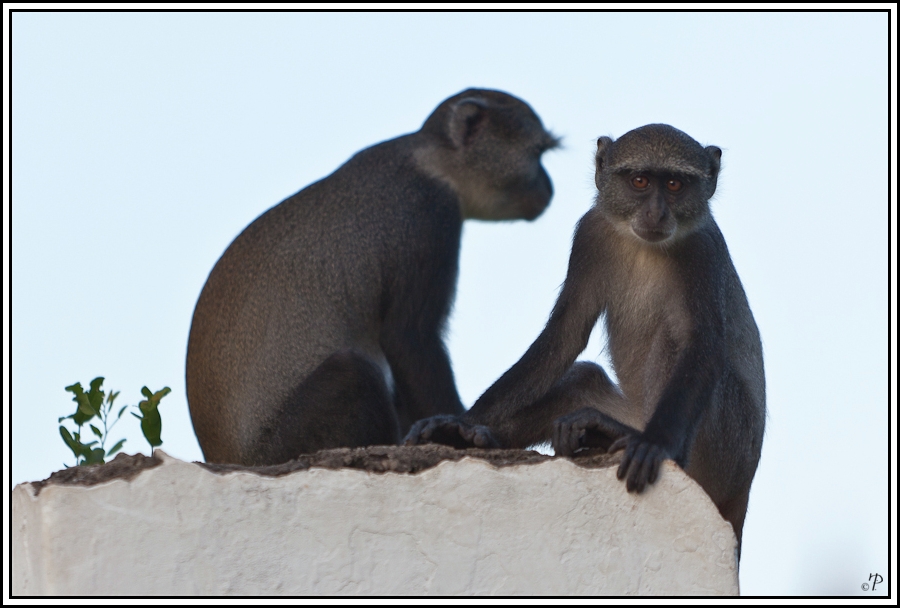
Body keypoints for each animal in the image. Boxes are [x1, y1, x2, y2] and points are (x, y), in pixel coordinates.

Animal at [186, 90, 560, 468]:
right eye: (537, 154)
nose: (549, 187)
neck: (429, 158)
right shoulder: (429, 214)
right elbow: (410, 338)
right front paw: (457, 429)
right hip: (284, 442)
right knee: (352, 371)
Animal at [408, 123, 768, 552]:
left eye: (675, 184)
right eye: (640, 181)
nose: (656, 212)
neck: (642, 245)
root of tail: (743, 492)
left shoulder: (702, 251)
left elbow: (701, 346)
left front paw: (657, 444)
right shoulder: (591, 233)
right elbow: (564, 334)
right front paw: (461, 423)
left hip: (726, 451)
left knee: (671, 341)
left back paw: (637, 440)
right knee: (581, 379)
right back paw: (489, 438)